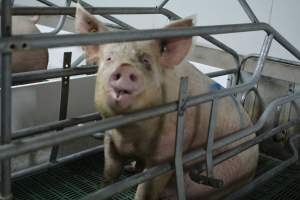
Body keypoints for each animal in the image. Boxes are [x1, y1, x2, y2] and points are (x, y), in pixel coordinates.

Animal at [74, 4, 258, 200]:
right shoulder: (110, 138)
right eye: (109, 58)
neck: (129, 134)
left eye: (146, 61)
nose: (125, 67)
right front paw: (114, 179)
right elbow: (109, 177)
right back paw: (131, 168)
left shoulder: (166, 154)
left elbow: (146, 191)